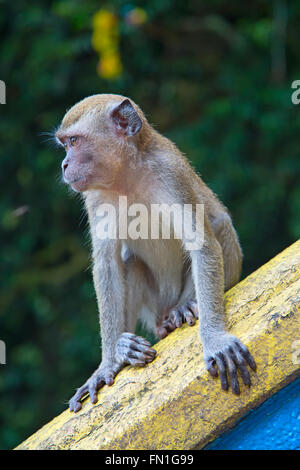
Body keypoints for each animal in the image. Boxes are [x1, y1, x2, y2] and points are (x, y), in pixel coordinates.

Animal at [55, 94, 255, 412]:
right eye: (65, 144)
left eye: (73, 141)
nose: (64, 164)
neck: (127, 174)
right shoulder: (95, 197)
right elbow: (107, 266)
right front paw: (108, 363)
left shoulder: (170, 173)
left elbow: (201, 243)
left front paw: (214, 339)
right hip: (152, 307)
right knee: (130, 263)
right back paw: (127, 347)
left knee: (220, 226)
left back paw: (184, 308)